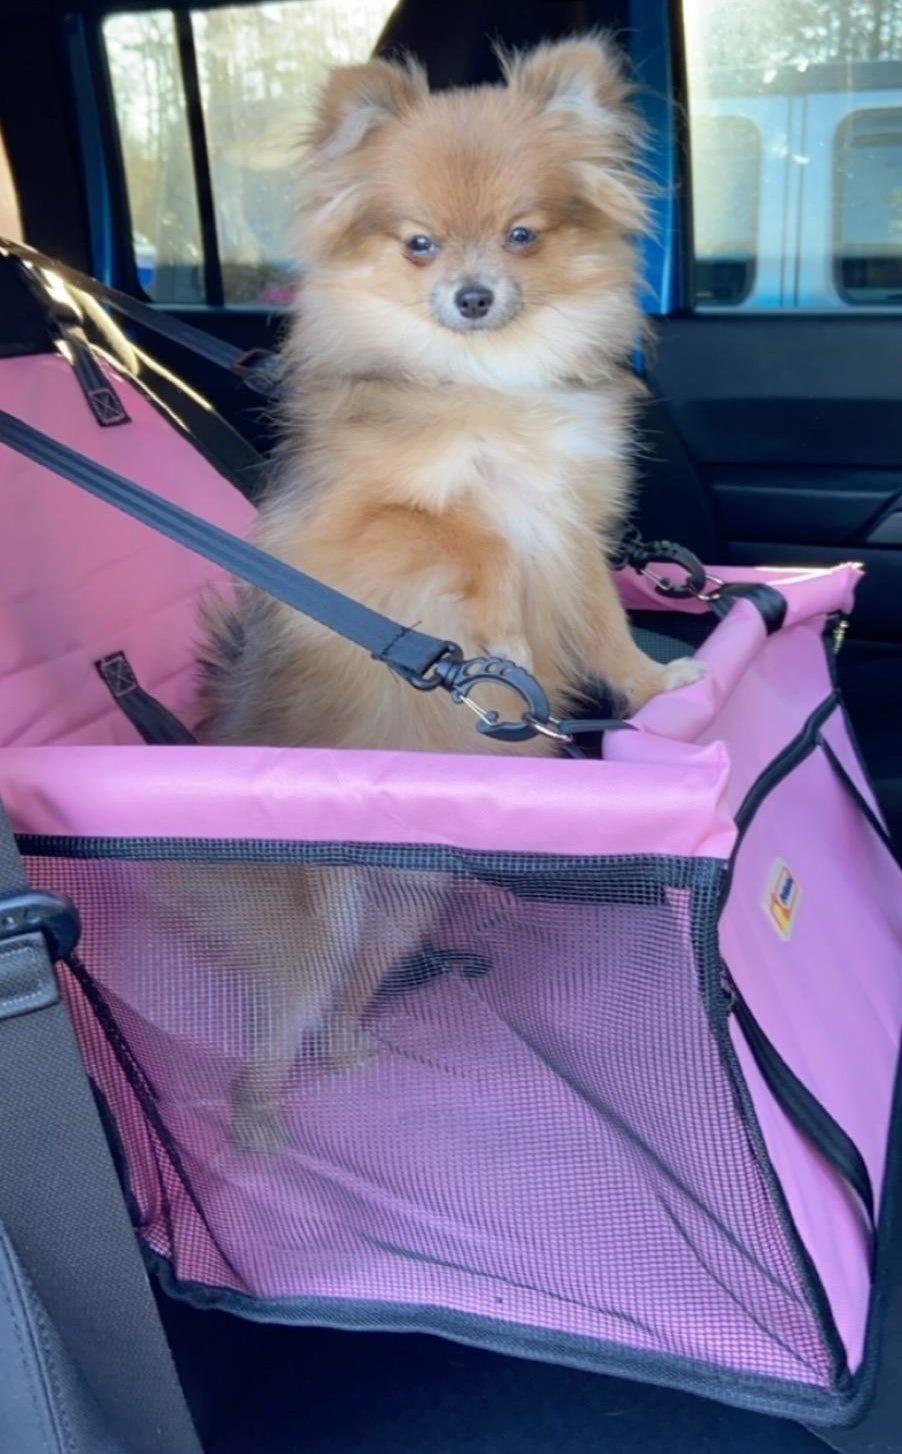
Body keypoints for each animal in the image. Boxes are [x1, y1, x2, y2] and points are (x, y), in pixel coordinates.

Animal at [197, 34, 704, 1145]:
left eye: (520, 236)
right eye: (420, 246)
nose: (472, 296)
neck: (486, 380)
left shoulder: (571, 526)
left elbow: (603, 620)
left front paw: (654, 687)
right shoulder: (356, 533)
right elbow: (473, 534)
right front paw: (501, 646)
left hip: (402, 907)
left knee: (347, 994)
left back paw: (350, 1048)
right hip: (315, 921)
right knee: (275, 1022)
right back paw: (255, 1124)